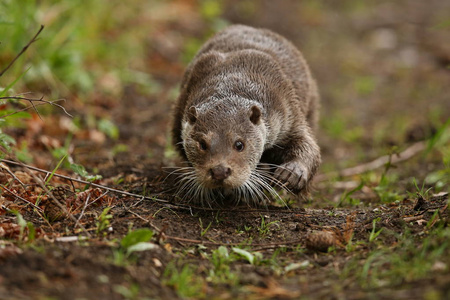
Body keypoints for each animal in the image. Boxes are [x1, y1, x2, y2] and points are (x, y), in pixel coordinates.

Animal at [171, 24, 322, 205]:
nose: (220, 171)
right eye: (202, 144)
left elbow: (307, 144)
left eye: (239, 144)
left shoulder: (289, 112)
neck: (234, 76)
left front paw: (293, 172)